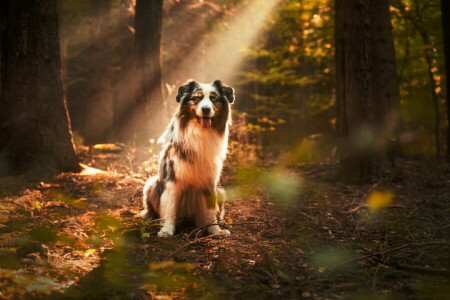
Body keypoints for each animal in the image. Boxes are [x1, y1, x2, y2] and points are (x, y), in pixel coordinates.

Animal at [142, 79, 236, 237]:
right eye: (196, 99)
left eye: (214, 99)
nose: (206, 109)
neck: (200, 132)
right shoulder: (172, 179)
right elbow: (170, 207)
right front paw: (167, 230)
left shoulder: (210, 181)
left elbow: (211, 210)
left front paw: (215, 230)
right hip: (152, 184)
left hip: (221, 191)